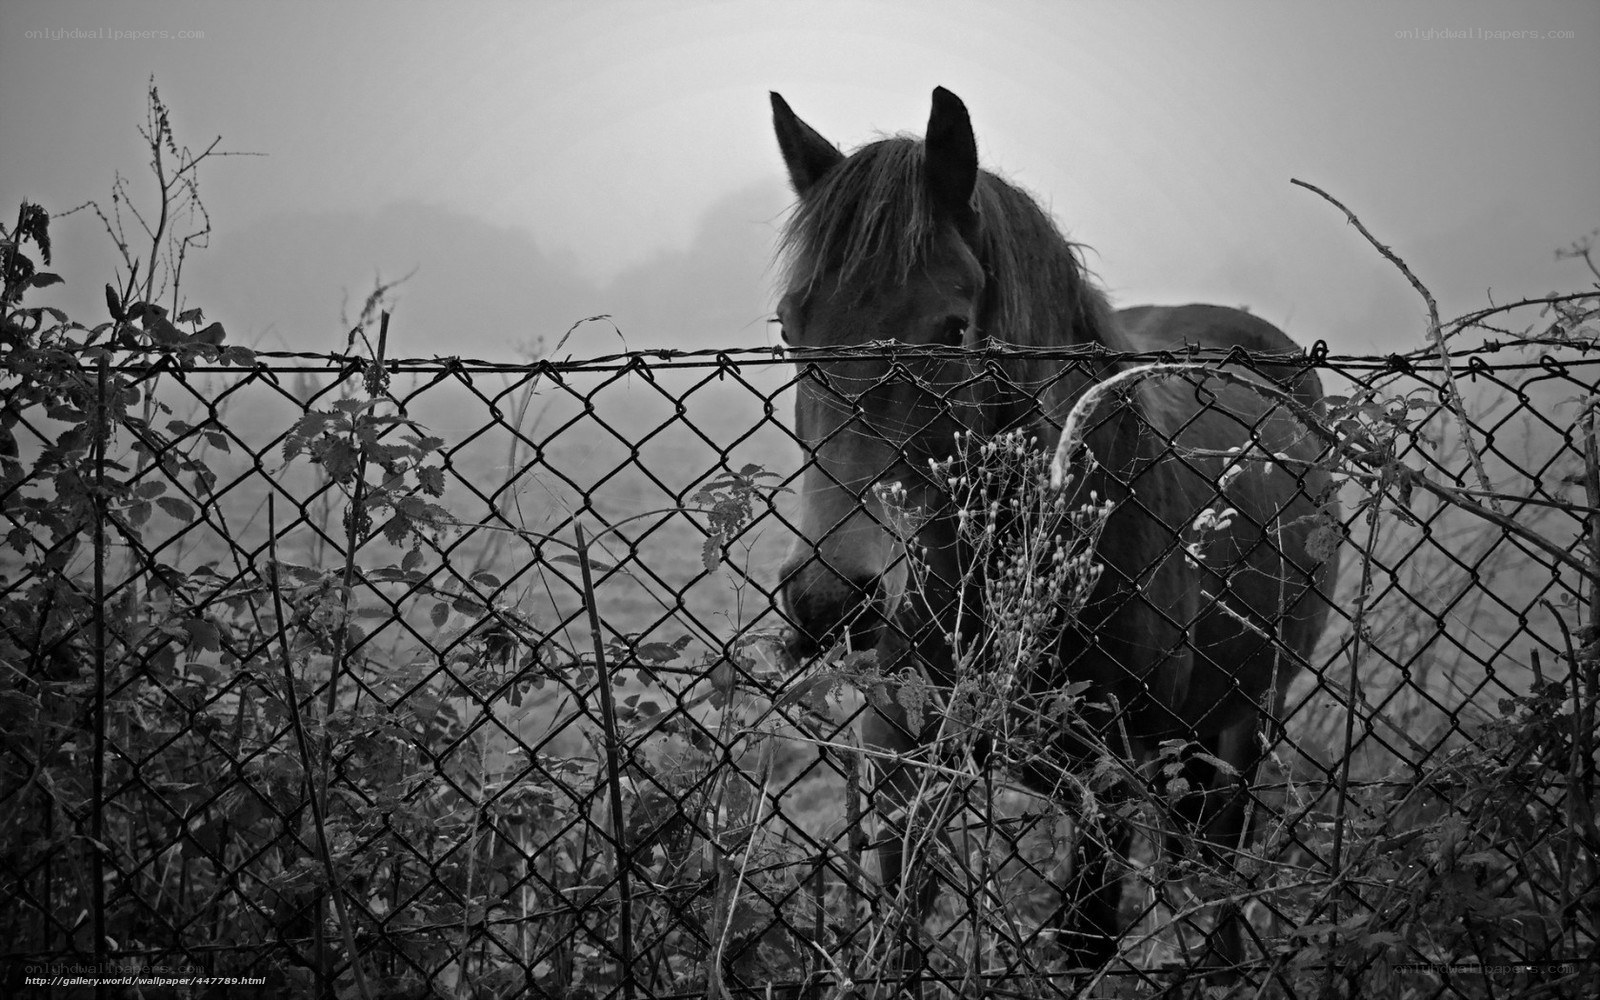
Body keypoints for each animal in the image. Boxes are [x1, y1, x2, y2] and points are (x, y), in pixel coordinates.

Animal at [769, 86, 1340, 975]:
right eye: (790, 329)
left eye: (953, 329)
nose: (832, 599)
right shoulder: (904, 761)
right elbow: (899, 927)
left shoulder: (1108, 780)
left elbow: (1085, 937)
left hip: (1242, 721)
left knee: (1216, 872)